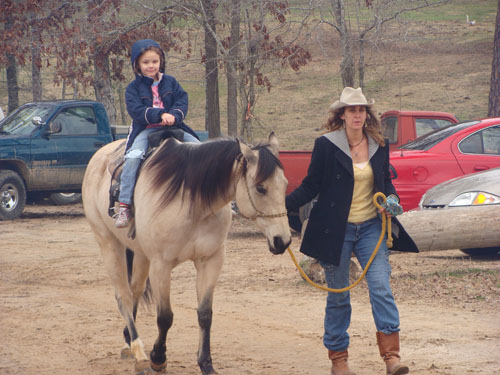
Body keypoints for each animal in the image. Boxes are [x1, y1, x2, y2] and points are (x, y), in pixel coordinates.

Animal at [81, 134, 292, 374]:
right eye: (260, 188)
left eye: (284, 184)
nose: (282, 240)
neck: (194, 203)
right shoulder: (161, 265)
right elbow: (165, 317)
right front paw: (158, 358)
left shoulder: (210, 261)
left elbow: (205, 314)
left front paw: (206, 363)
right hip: (108, 243)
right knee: (123, 296)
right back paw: (139, 352)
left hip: (141, 254)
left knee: (135, 291)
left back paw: (128, 342)